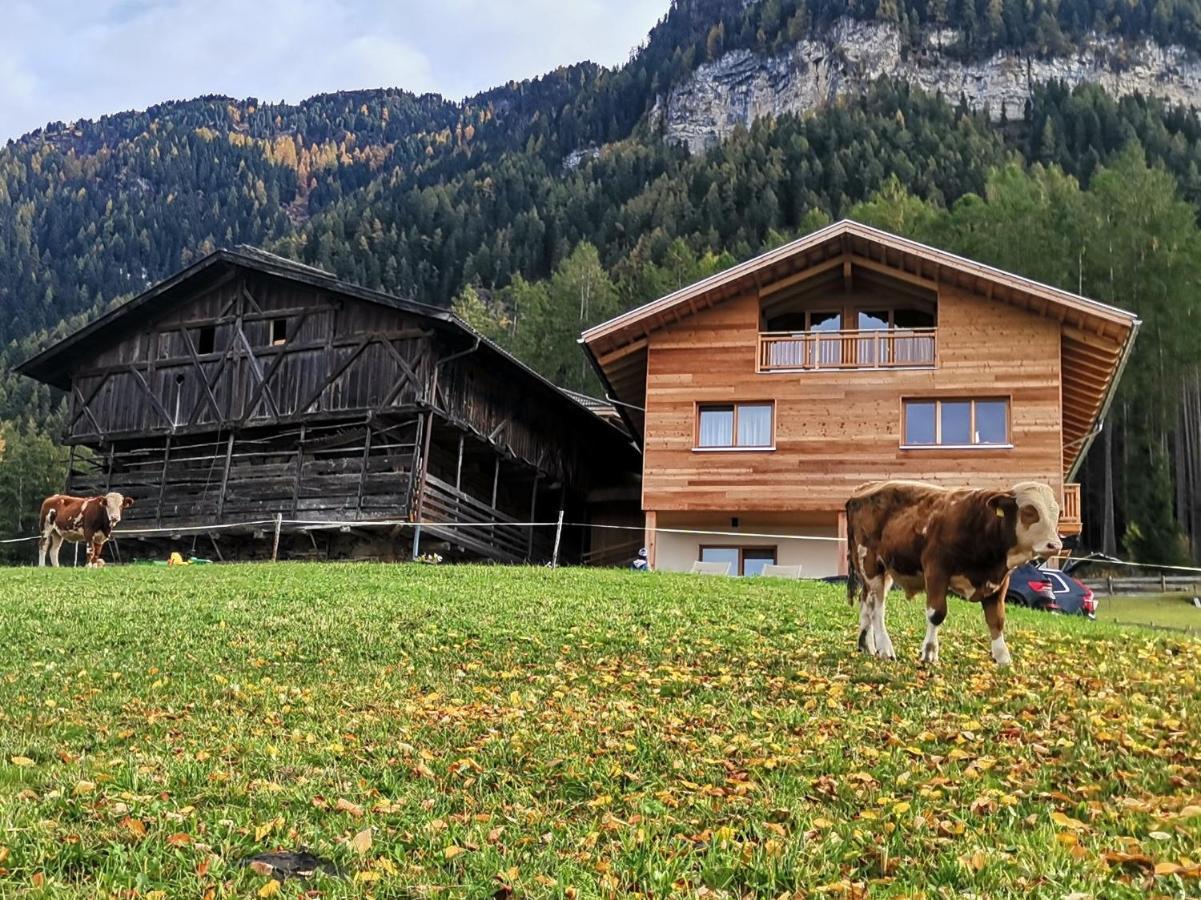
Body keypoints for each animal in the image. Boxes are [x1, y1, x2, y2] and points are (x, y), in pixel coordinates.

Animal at [845, 480, 1061, 663]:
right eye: (1030, 511)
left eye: (1056, 513)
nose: (1055, 545)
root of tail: (863, 489)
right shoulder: (936, 570)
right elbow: (937, 613)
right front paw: (929, 652)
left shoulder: (999, 580)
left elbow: (997, 620)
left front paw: (1003, 658)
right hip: (870, 564)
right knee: (877, 608)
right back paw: (885, 648)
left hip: (883, 570)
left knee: (867, 603)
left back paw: (866, 646)